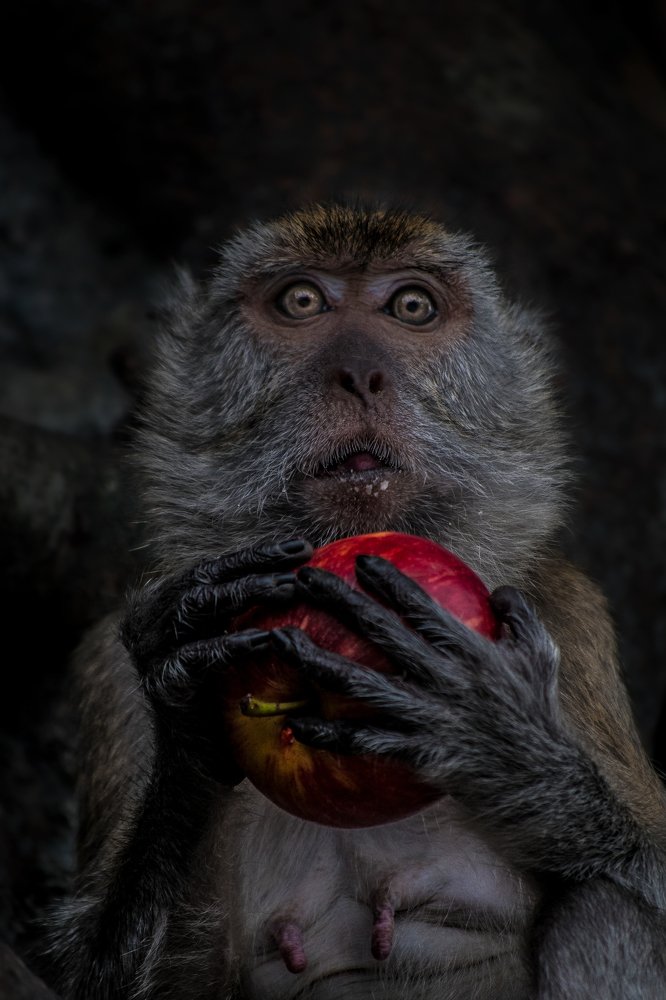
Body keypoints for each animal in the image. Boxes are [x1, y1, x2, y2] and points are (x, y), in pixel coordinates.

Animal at [50, 202, 666, 999]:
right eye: (301, 300)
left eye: (412, 307)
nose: (360, 375)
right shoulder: (109, 662)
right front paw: (186, 710)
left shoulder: (568, 615)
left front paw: (497, 735)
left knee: (601, 911)